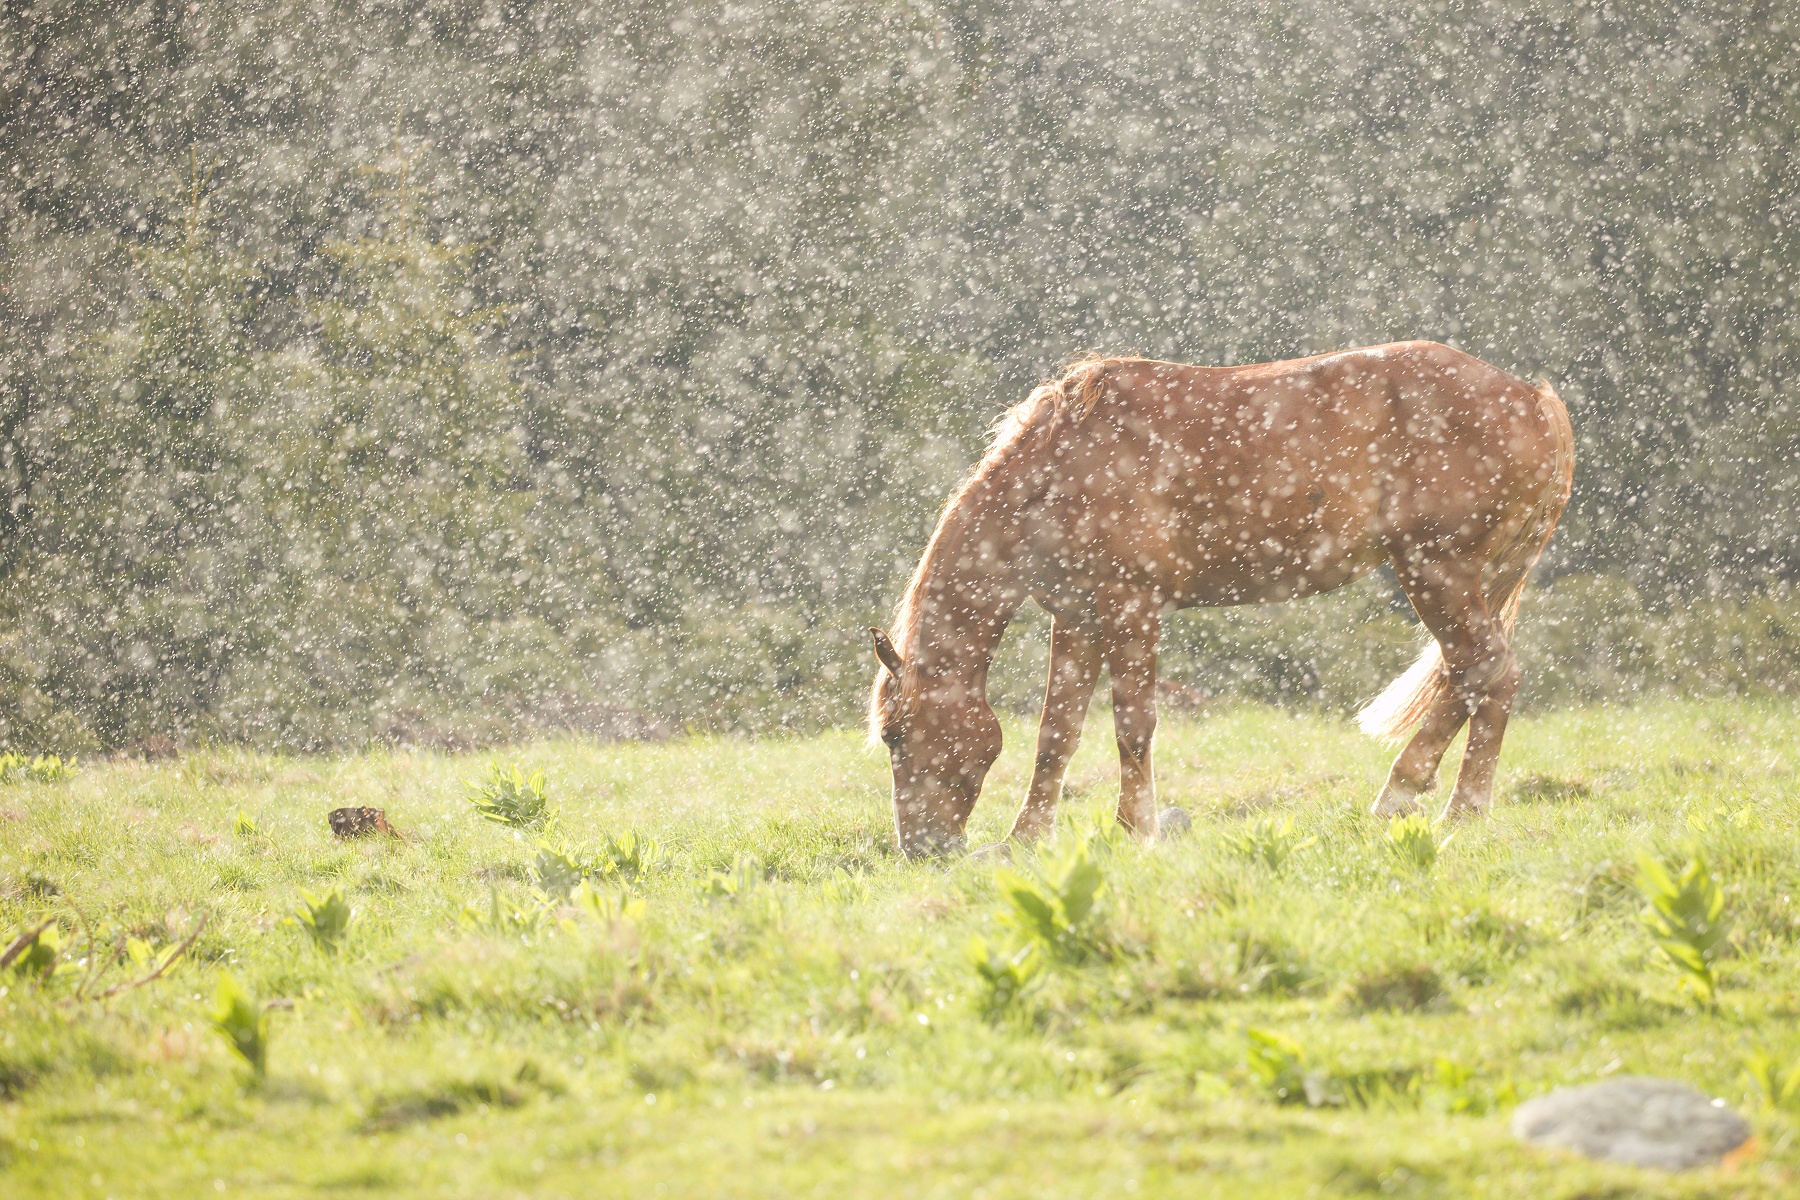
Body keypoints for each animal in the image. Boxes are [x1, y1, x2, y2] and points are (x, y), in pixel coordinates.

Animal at [864, 341, 1569, 859]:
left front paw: (1137, 829)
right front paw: (1026, 839)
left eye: (897, 734)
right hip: (1464, 580)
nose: (921, 849)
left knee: (1486, 671)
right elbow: (1056, 733)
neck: (1060, 465)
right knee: (1471, 678)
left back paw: (1440, 808)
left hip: (1438, 571)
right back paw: (1422, 802)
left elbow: (1133, 725)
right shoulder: (1079, 618)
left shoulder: (1130, 608)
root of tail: (1536, 400)